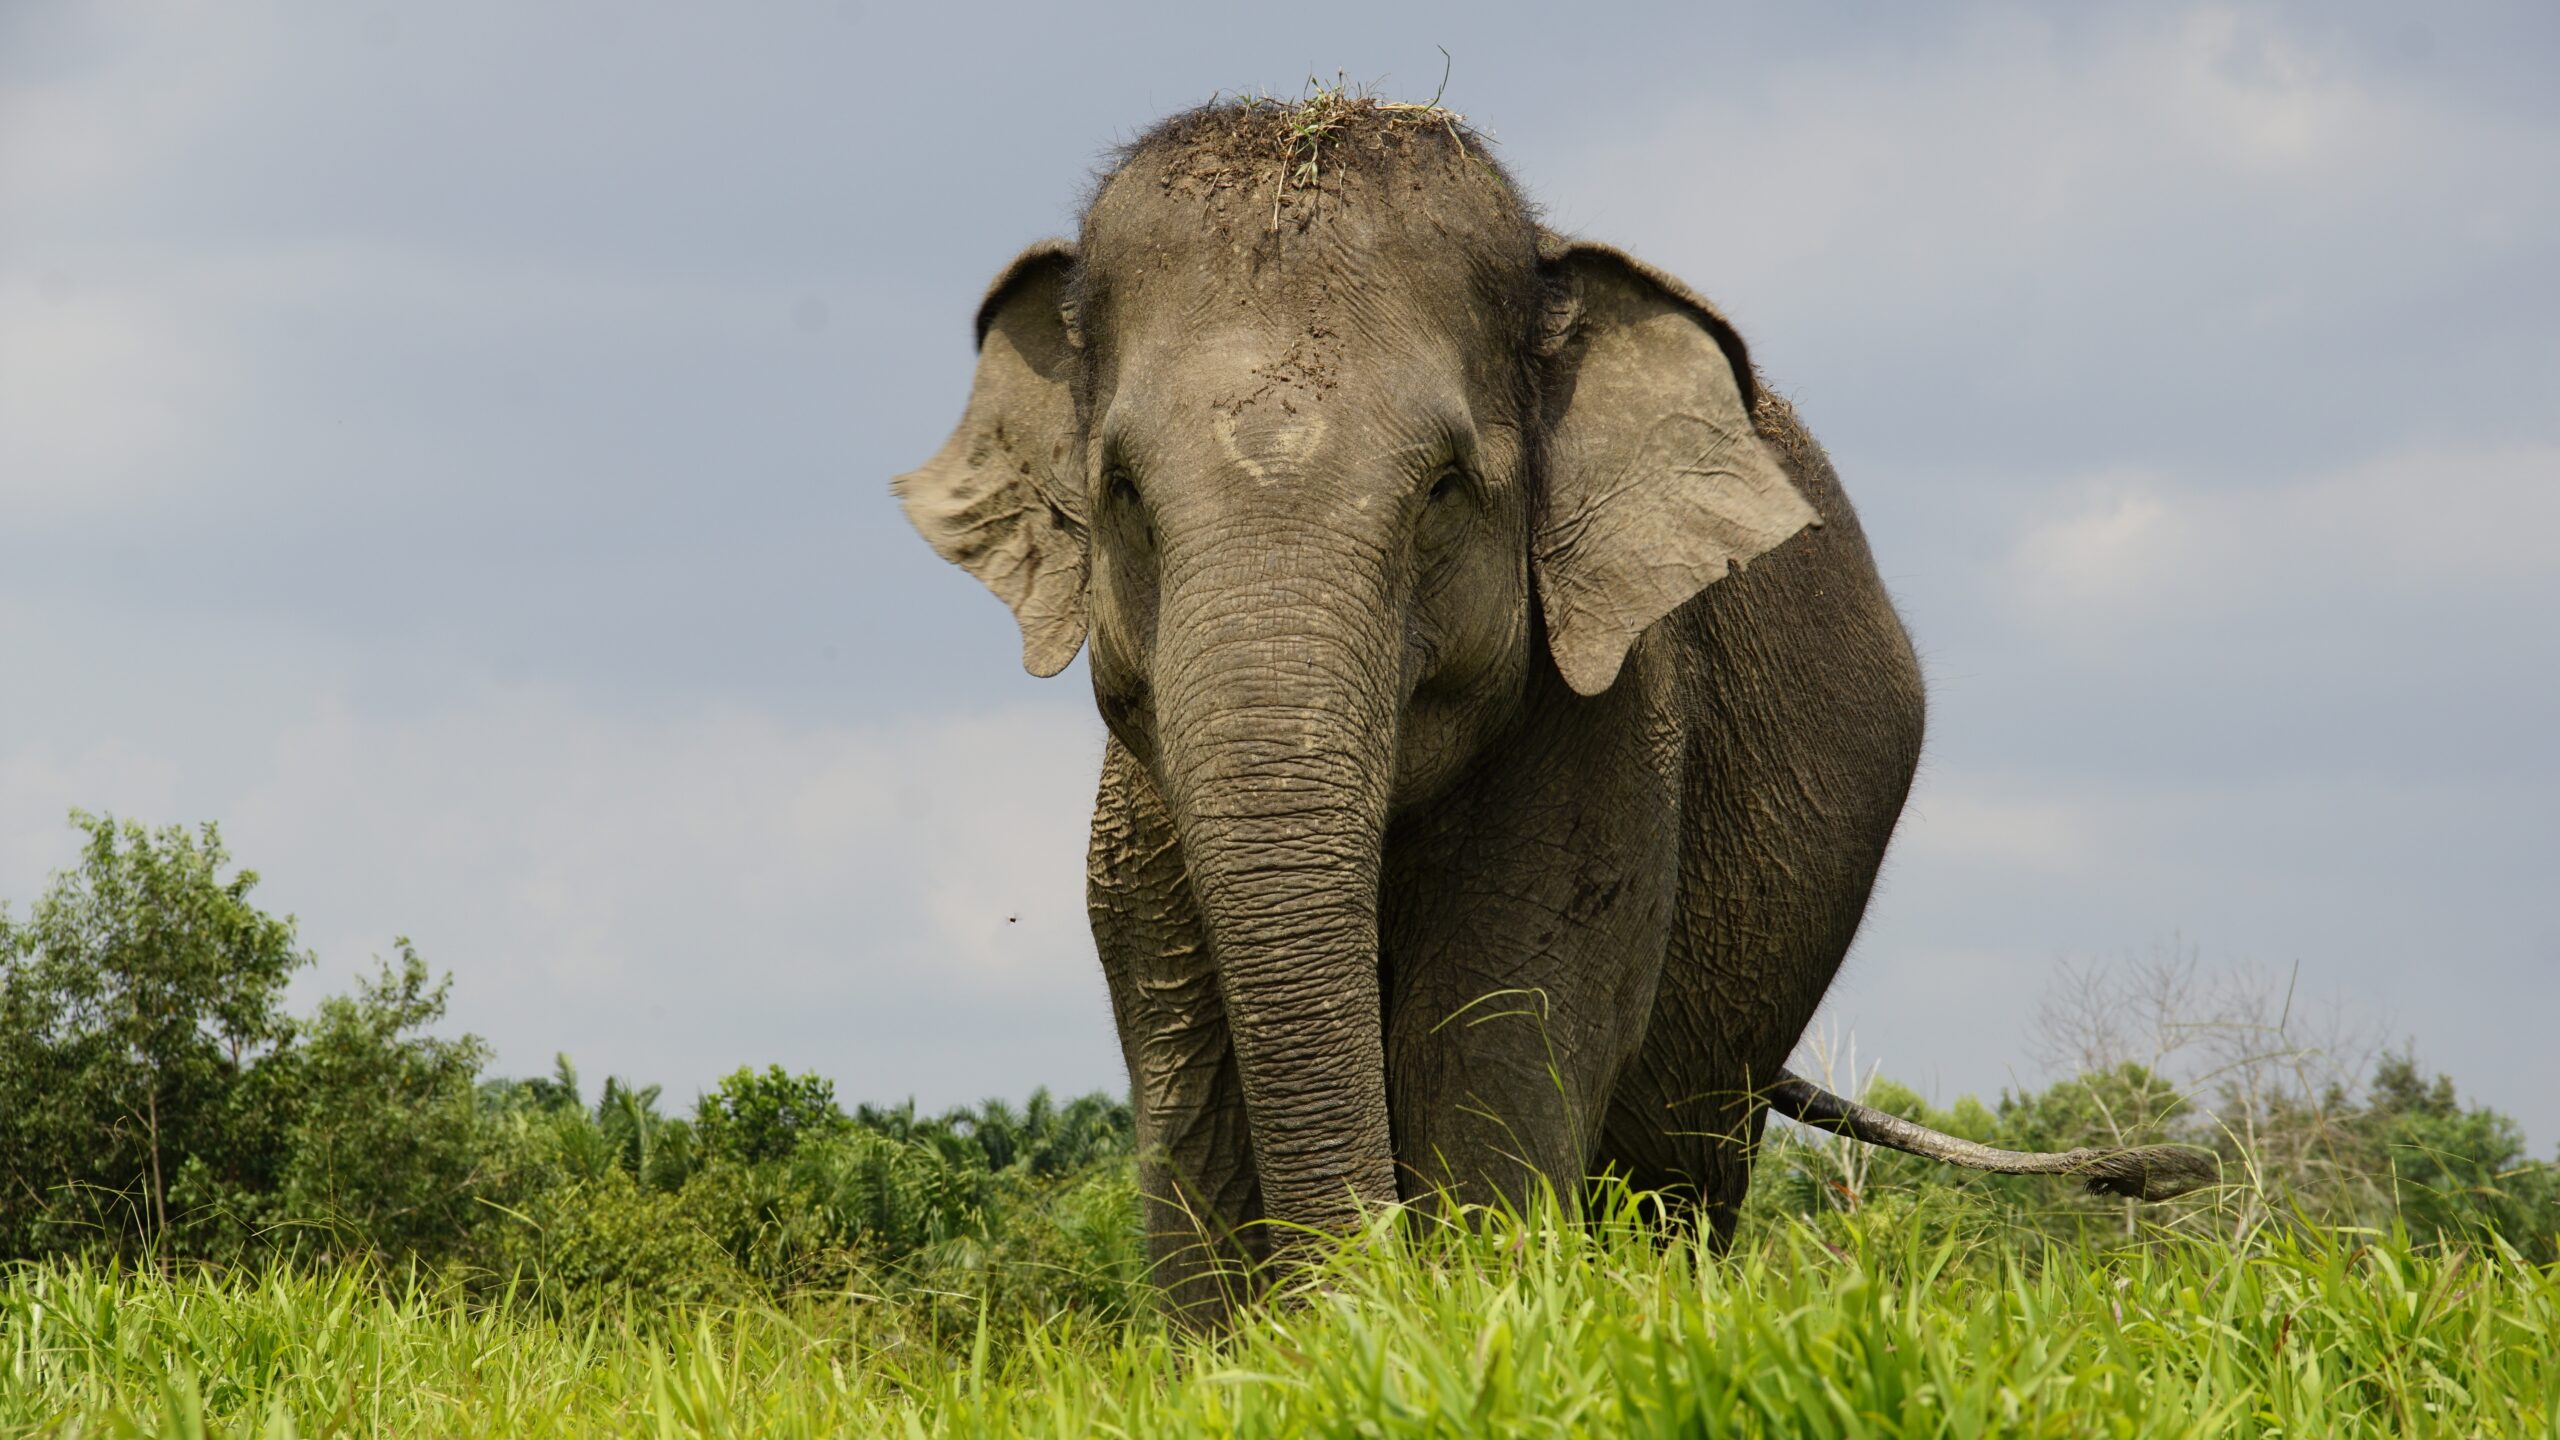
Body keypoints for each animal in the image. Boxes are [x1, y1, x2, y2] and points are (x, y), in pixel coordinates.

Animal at [890, 95, 2211, 1322]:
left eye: (1442, 490)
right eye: (1118, 491)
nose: (2171, 1174)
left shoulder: (1604, 734)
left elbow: (1486, 1059)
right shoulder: (1143, 808)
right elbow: (1187, 1091)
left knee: (1680, 1175)